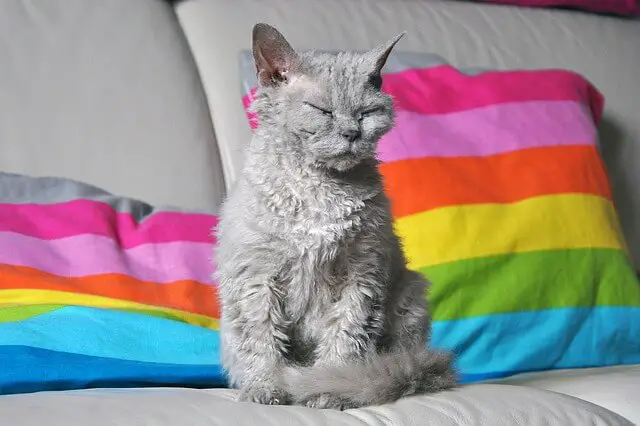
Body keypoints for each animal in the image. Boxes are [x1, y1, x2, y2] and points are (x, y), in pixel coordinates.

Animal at [214, 22, 456, 410]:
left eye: (366, 113)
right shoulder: (257, 277)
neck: (321, 189)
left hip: (410, 296)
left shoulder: (362, 275)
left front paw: (329, 389)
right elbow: (262, 341)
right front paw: (266, 389)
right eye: (322, 110)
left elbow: (345, 339)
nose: (351, 133)